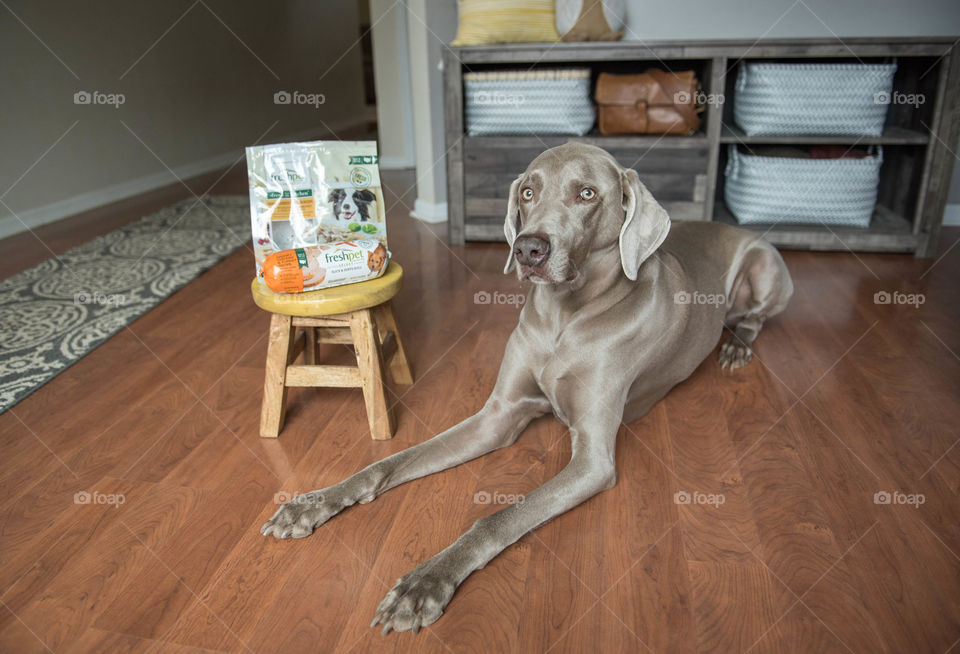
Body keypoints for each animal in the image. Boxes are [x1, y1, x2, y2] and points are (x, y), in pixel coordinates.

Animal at [258, 142, 792, 636]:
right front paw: (312, 503)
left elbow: (497, 518)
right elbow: (386, 464)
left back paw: (736, 346)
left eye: (587, 194)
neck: (566, 315)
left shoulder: (592, 460)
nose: (529, 250)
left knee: (756, 318)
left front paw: (426, 581)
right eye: (528, 192)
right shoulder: (497, 417)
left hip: (765, 269)